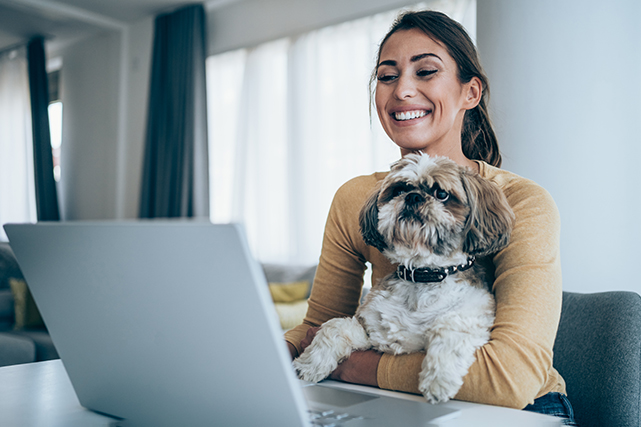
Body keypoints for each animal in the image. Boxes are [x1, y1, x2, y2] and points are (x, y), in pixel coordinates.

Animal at [296, 154, 516, 404]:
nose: (413, 196)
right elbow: (334, 327)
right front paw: (309, 364)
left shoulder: (473, 316)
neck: (422, 276)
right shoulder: (373, 334)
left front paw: (438, 380)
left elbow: (449, 328)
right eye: (400, 189)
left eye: (442, 194)